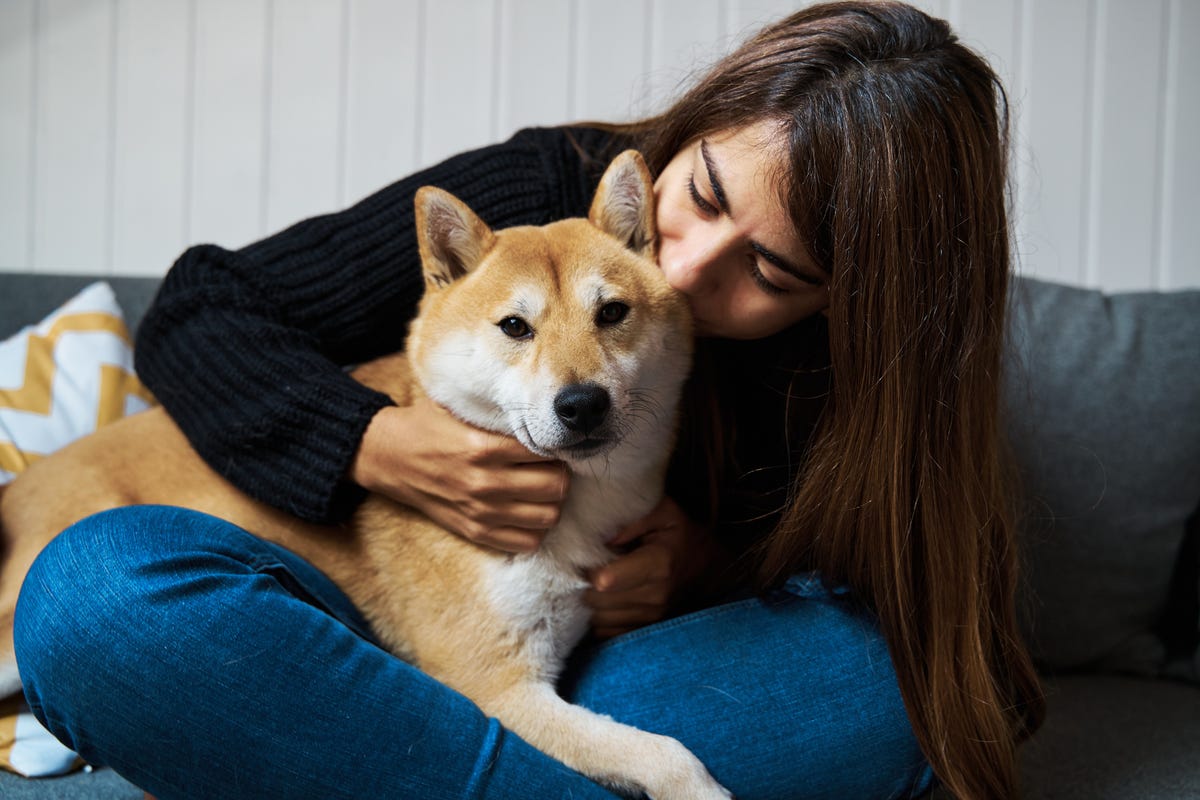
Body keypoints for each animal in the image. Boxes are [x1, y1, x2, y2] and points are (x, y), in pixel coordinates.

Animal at [0, 151, 734, 800]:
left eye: (611, 313)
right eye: (514, 327)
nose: (582, 404)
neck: (580, 500)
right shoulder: (496, 685)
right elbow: (664, 753)